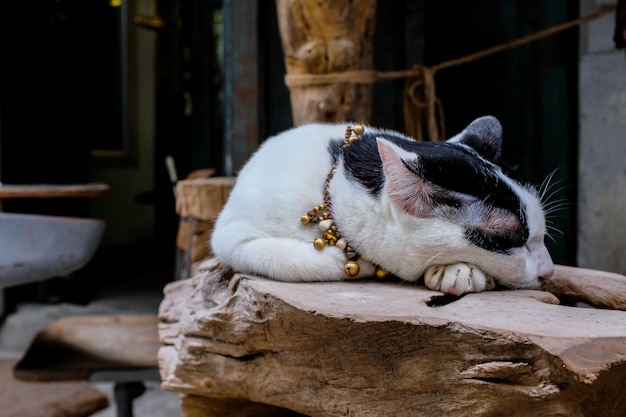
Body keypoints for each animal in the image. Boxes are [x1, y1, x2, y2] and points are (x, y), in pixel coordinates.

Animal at [210, 115, 552, 294]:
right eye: (509, 240)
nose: (548, 273)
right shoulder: (230, 234)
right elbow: (288, 260)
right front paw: (349, 261)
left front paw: (458, 270)